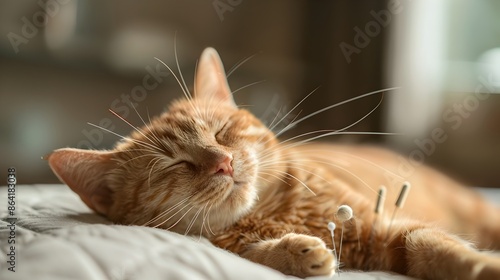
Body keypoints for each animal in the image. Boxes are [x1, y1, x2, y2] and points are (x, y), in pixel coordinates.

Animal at [47, 47, 500, 278]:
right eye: (175, 165)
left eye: (221, 133)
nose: (223, 163)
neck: (278, 212)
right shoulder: (229, 244)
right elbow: (253, 254)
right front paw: (298, 251)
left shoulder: (390, 227)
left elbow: (436, 247)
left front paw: (481, 265)